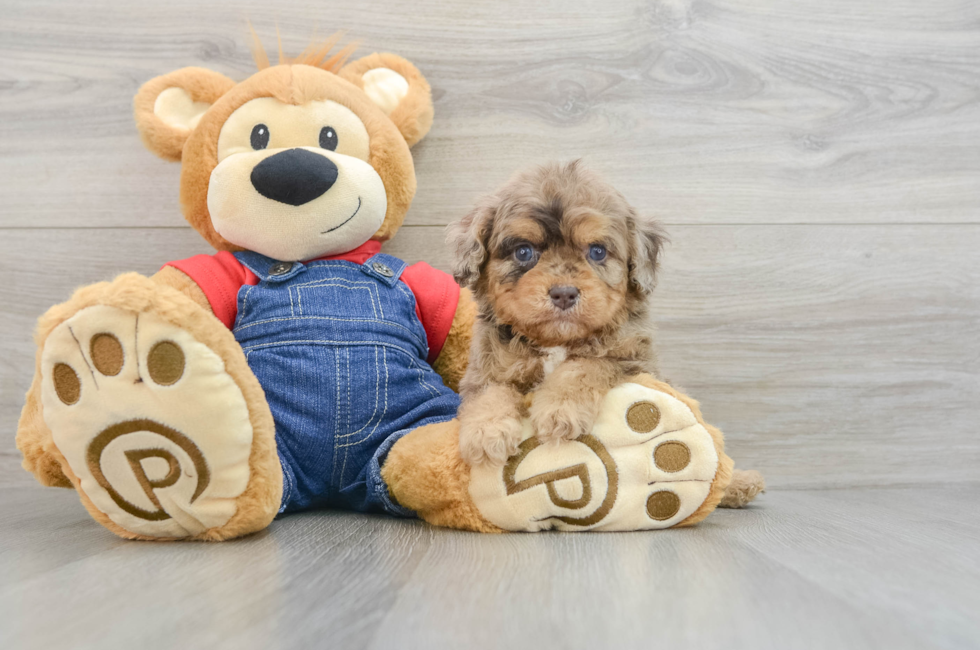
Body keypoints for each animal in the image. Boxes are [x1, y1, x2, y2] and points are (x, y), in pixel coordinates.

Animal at [450, 162, 668, 466]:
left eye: (597, 251)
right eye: (523, 251)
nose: (564, 294)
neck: (556, 343)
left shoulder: (633, 360)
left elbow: (584, 365)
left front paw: (560, 409)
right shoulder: (484, 365)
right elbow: (488, 390)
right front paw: (486, 432)